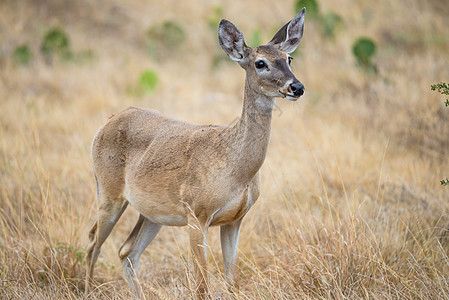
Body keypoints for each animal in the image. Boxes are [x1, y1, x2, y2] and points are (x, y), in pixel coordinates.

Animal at [85, 8, 304, 298]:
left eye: (289, 58)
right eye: (260, 63)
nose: (297, 87)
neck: (235, 167)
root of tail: (106, 122)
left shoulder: (235, 220)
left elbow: (232, 281)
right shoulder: (196, 214)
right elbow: (201, 286)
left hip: (152, 213)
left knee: (127, 251)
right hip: (108, 192)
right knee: (93, 243)